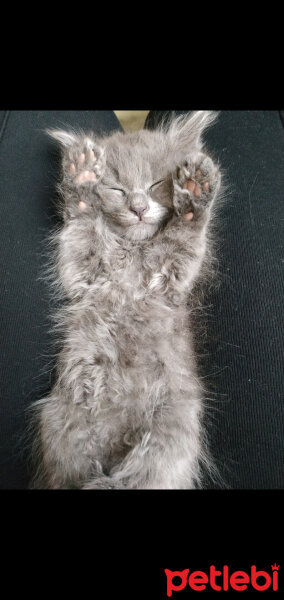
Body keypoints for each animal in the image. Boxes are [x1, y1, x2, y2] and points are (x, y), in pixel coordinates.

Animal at [31, 111, 222, 488]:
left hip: (169, 433)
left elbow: (185, 234)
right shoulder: (84, 269)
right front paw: (82, 179)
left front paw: (194, 191)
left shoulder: (170, 272)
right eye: (116, 189)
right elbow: (82, 226)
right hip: (62, 423)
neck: (133, 254)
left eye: (155, 184)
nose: (138, 208)